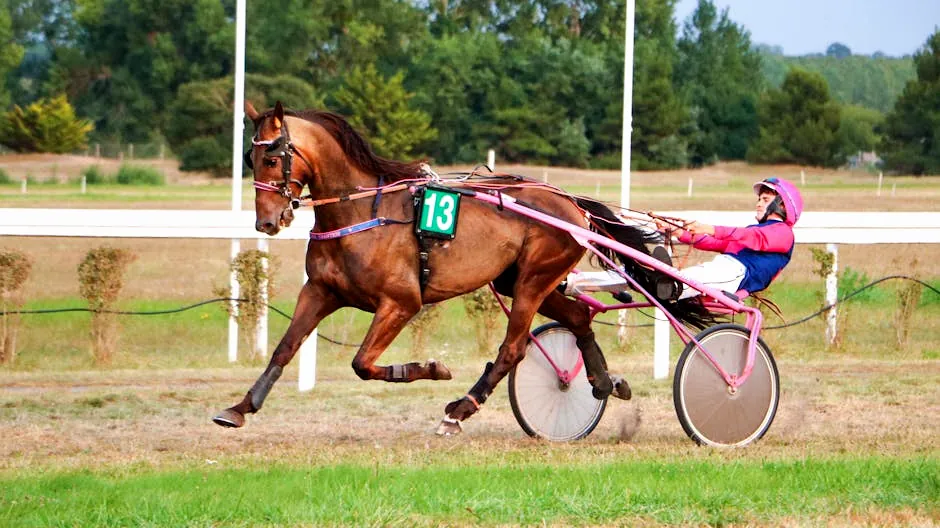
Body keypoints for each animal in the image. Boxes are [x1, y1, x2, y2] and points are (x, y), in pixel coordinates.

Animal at [212, 101, 708, 433]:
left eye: (272, 157)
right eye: (249, 158)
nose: (266, 222)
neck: (360, 212)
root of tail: (571, 203)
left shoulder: (401, 302)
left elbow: (363, 363)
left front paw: (432, 368)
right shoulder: (319, 291)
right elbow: (284, 348)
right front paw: (240, 407)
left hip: (533, 280)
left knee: (513, 348)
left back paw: (462, 407)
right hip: (522, 282)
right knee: (579, 316)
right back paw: (604, 382)